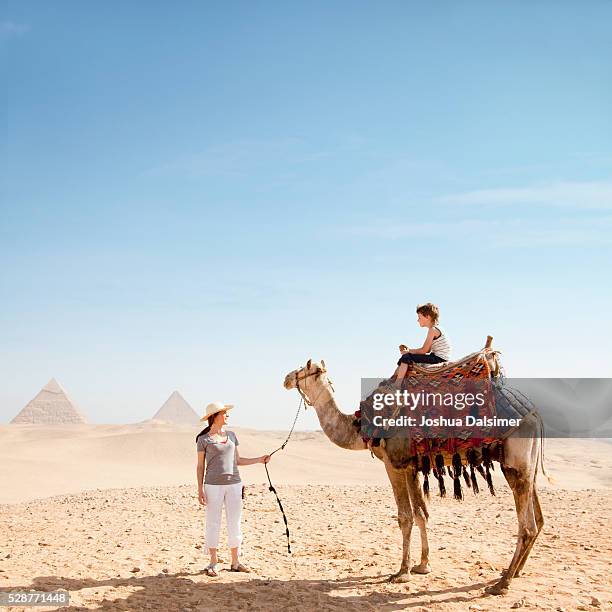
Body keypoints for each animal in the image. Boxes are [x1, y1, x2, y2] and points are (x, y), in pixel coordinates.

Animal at [284, 346, 548, 596]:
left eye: (304, 368)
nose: (286, 378)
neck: (360, 426)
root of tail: (533, 412)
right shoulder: (412, 466)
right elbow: (421, 514)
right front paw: (423, 565)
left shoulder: (394, 463)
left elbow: (405, 516)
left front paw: (402, 572)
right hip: (528, 465)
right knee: (538, 517)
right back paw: (514, 572)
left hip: (514, 461)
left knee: (526, 525)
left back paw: (502, 584)